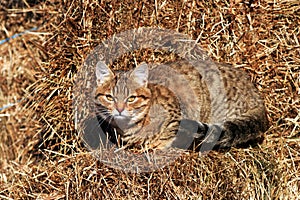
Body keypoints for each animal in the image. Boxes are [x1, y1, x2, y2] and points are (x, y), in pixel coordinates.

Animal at [94, 60, 270, 151]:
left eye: (131, 98)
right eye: (109, 97)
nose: (119, 109)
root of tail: (257, 96)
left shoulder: (179, 113)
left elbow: (167, 134)